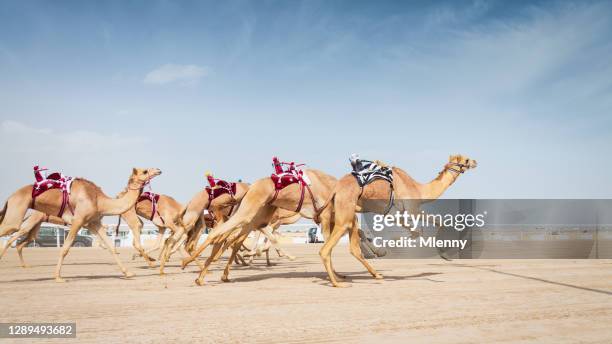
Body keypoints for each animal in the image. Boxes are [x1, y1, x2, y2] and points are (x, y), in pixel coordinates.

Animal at [0, 167, 160, 282]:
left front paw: (128, 272)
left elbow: (111, 247)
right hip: (17, 214)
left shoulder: (94, 222)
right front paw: (58, 277)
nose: (158, 170)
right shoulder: (78, 220)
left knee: (22, 240)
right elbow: (65, 249)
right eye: (145, 171)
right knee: (10, 235)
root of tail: (10, 197)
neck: (100, 201)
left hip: (30, 222)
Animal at [179, 168, 338, 286]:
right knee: (206, 237)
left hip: (247, 215)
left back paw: (204, 275)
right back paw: (188, 264)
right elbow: (269, 239)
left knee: (220, 239)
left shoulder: (261, 223)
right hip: (239, 213)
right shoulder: (324, 216)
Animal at [320, 155, 478, 286]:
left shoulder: (400, 213)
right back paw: (338, 283)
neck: (418, 189)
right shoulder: (406, 210)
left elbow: (429, 227)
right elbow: (421, 230)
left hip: (342, 213)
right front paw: (387, 247)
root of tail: (336, 189)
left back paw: (370, 274)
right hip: (345, 212)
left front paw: (444, 256)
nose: (475, 162)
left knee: (348, 246)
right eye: (466, 159)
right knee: (326, 249)